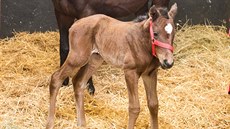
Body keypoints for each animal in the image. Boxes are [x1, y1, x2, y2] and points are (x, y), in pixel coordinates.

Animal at [46, 3, 178, 129]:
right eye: (155, 33)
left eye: (173, 33)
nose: (168, 62)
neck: (142, 42)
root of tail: (74, 25)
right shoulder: (130, 72)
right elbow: (134, 107)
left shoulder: (150, 74)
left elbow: (154, 104)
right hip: (78, 57)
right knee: (56, 78)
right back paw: (50, 124)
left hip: (95, 59)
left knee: (78, 82)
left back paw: (82, 124)